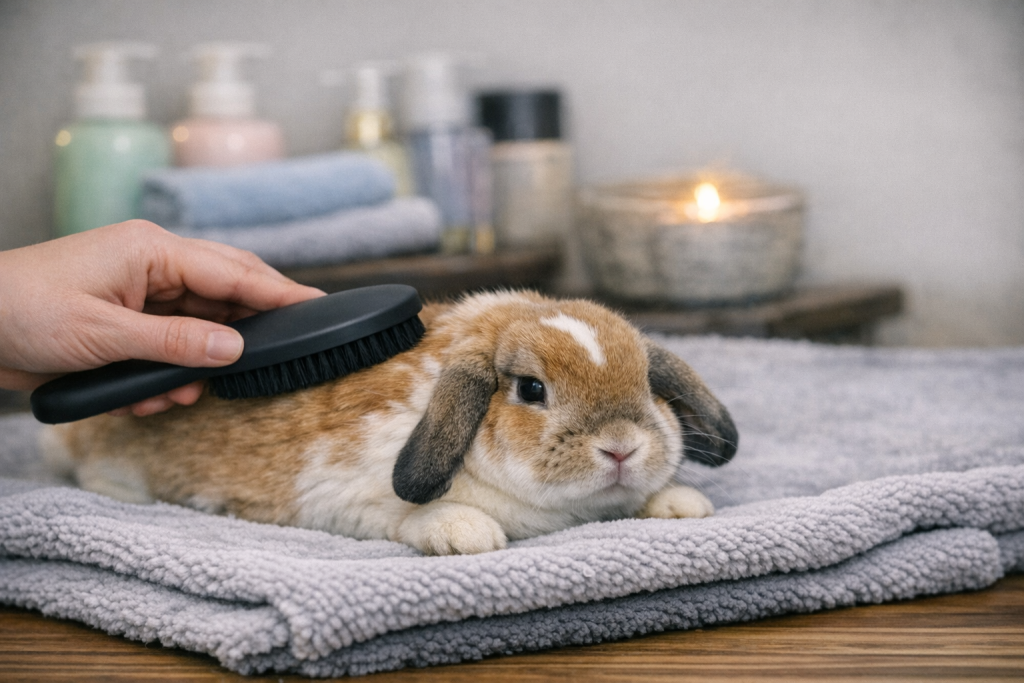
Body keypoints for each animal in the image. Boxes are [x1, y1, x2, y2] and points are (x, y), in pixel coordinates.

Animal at [42, 290, 738, 555]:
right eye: (531, 389)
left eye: (647, 383)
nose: (621, 448)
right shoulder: (340, 498)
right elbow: (406, 518)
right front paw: (466, 533)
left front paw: (681, 504)